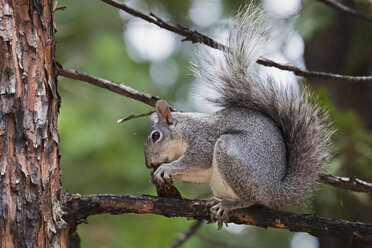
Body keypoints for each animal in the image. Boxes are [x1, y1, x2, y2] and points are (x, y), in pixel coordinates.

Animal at [144, 4, 332, 229]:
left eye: (156, 136)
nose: (148, 164)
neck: (184, 130)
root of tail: (275, 192)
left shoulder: (202, 140)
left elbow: (198, 159)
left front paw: (166, 168)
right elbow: (197, 173)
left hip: (232, 155)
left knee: (251, 199)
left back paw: (230, 204)